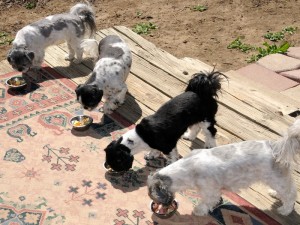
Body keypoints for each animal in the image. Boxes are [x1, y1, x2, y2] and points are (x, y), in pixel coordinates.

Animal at [147, 119, 300, 216]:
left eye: (155, 199)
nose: (160, 206)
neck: (188, 168)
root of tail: (276, 148)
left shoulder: (210, 192)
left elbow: (205, 203)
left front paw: (198, 211)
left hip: (277, 179)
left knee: (291, 194)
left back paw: (285, 210)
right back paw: (275, 194)